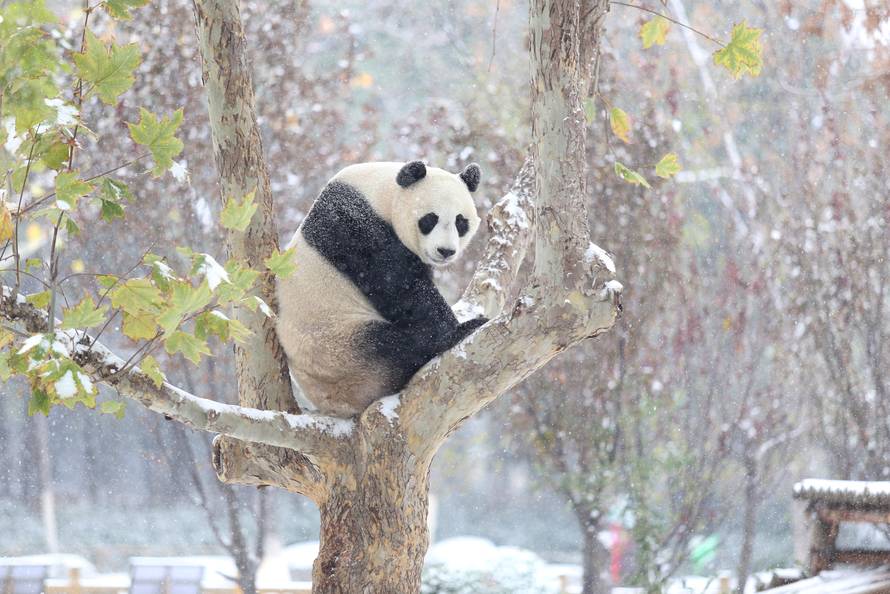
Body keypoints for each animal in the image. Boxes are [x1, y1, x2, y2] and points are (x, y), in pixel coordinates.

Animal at [277, 160, 488, 417]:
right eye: (430, 219)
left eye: (461, 222)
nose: (445, 251)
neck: (380, 193)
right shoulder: (356, 228)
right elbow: (401, 288)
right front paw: (456, 328)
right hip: (339, 349)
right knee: (394, 347)